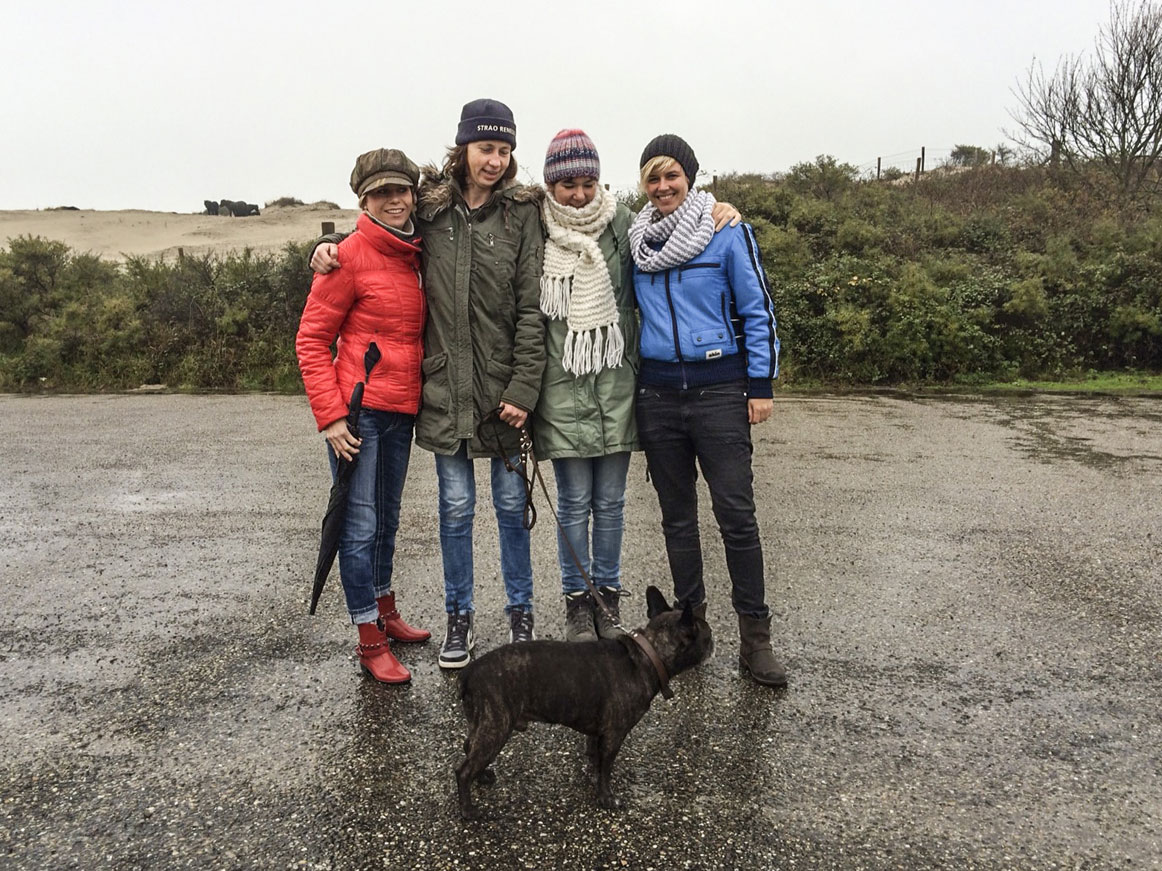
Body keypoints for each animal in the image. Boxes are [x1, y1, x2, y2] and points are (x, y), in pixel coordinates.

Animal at [455, 589, 711, 822]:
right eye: (708, 636)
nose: (713, 643)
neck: (647, 654)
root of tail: (469, 672)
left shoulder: (598, 732)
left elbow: (595, 758)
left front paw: (593, 778)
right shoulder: (614, 735)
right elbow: (606, 768)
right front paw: (607, 798)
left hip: (482, 723)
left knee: (469, 747)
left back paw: (482, 775)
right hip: (496, 726)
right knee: (463, 770)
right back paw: (468, 811)